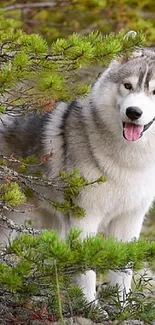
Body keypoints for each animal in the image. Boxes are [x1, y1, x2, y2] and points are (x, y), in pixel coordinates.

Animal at [0, 46, 155, 302]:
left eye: (154, 91)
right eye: (128, 86)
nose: (133, 112)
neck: (129, 160)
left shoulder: (129, 221)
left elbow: (122, 275)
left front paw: (121, 307)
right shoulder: (85, 218)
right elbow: (86, 273)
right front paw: (89, 306)